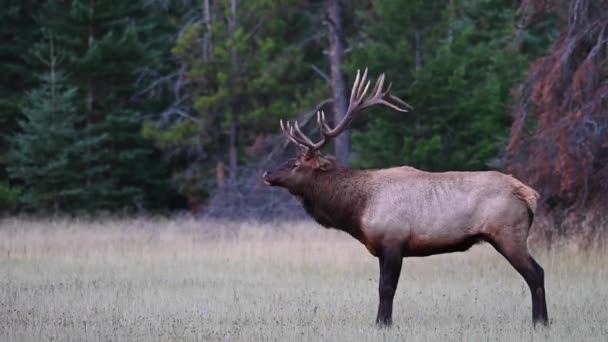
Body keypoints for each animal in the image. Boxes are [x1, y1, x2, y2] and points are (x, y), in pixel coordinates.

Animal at [264, 69, 548, 326]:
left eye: (295, 164)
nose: (267, 173)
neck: (358, 209)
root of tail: (528, 193)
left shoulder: (394, 241)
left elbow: (386, 288)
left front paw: (383, 324)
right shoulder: (382, 248)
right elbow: (383, 288)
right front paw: (381, 321)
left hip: (508, 234)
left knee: (536, 274)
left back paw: (540, 322)